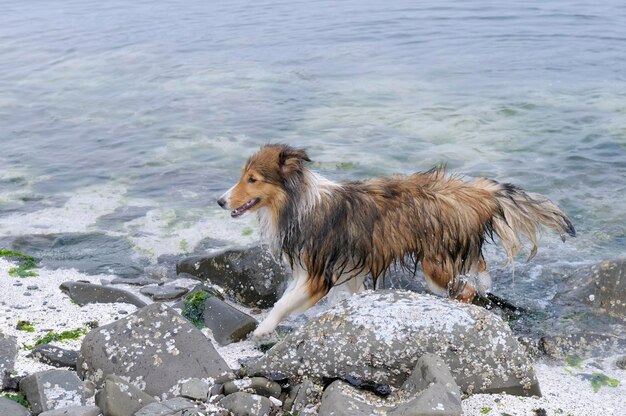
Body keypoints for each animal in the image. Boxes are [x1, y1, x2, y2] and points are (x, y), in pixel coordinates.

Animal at [217, 145, 572, 336]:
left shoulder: (317, 276)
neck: (298, 201)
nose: (220, 201)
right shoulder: (336, 271)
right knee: (479, 270)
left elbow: (282, 303)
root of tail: (473, 192)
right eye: (242, 176)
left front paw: (263, 329)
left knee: (467, 291)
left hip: (435, 265)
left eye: (253, 179)